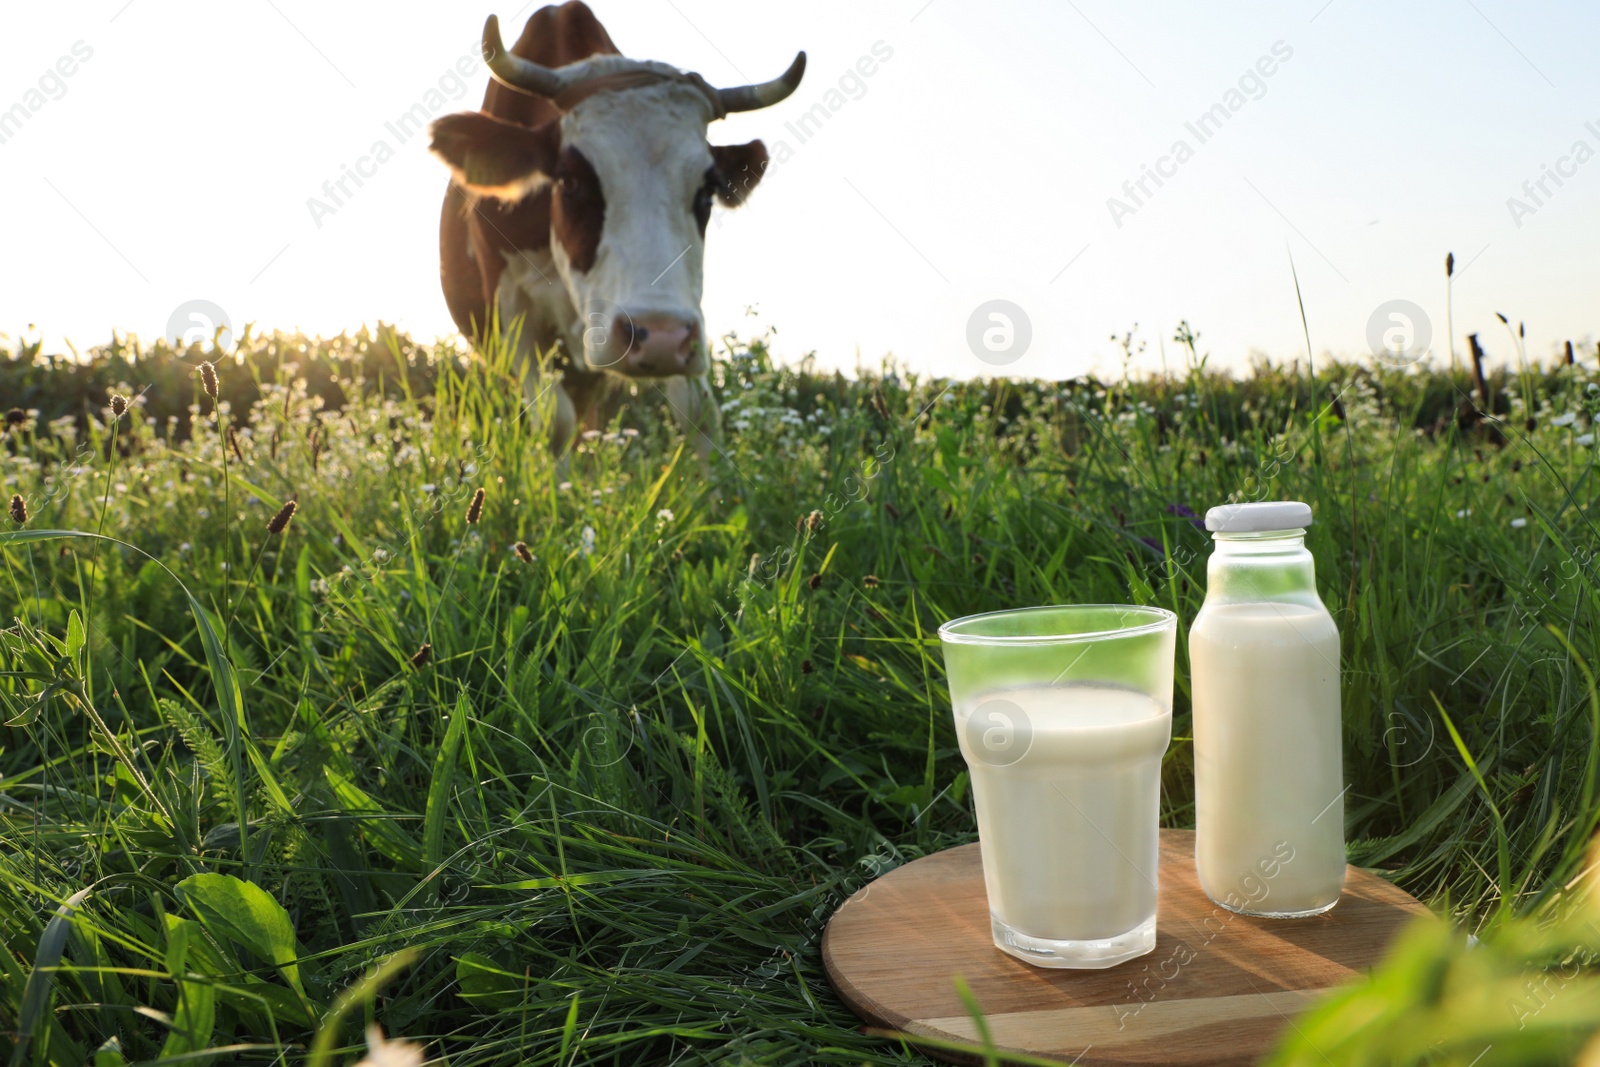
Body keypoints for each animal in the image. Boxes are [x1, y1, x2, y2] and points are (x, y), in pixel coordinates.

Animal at [432, 4, 806, 457]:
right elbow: (554, 421)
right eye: (569, 181)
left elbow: (699, 414)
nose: (659, 337)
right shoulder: (509, 311)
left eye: (708, 191)